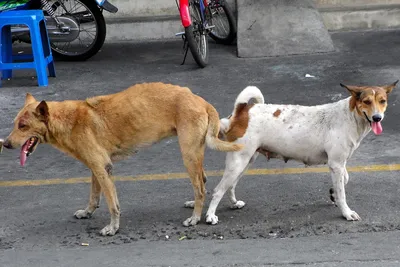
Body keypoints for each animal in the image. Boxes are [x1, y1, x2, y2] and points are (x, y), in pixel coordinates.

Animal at [3, 82, 242, 236]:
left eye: (23, 126)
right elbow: (94, 196)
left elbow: (112, 205)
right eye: (15, 123)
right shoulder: (95, 168)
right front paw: (88, 212)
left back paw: (195, 217)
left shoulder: (103, 168)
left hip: (188, 155)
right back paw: (194, 204)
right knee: (202, 181)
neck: (68, 121)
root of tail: (200, 100)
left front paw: (113, 228)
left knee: (200, 187)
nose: (4, 144)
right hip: (193, 154)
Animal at [205, 82, 396, 225]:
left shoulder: (339, 163)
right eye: (367, 101)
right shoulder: (335, 164)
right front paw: (346, 212)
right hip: (238, 162)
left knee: (230, 186)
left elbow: (344, 180)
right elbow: (342, 193)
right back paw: (210, 216)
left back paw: (234, 203)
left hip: (246, 160)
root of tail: (242, 110)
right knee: (218, 190)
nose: (377, 118)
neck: (351, 116)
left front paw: (332, 192)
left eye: (382, 101)